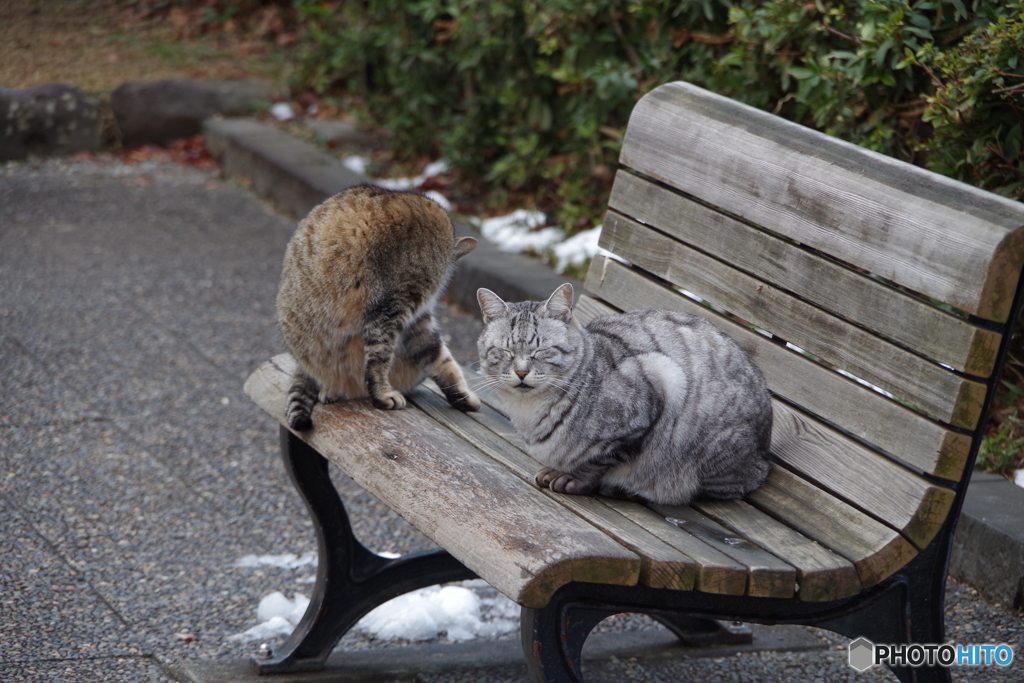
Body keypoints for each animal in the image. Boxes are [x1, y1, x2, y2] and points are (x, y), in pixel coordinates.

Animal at [278, 184, 481, 430]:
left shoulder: (417, 319)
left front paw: (462, 397)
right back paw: (333, 389)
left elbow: (441, 359)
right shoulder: (392, 307)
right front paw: (383, 395)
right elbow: (379, 358)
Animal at [475, 282, 770, 507]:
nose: (521, 372)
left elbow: (600, 460)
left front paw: (574, 478)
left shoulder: (656, 383)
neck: (528, 413)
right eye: (505, 351)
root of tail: (764, 458)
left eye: (540, 351)